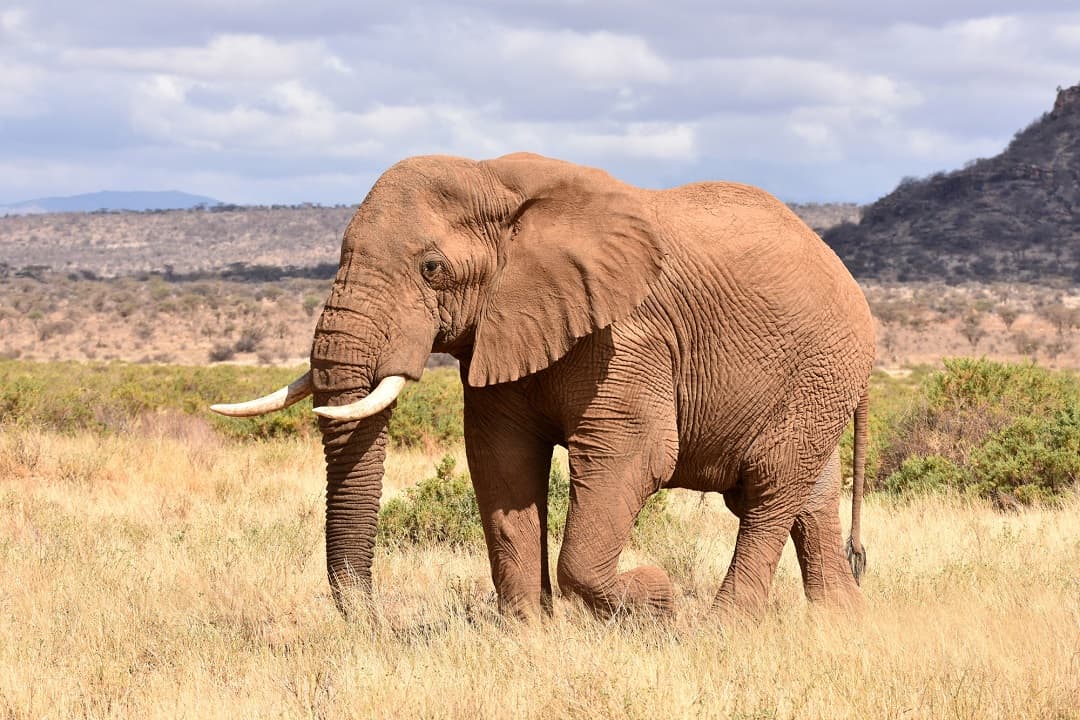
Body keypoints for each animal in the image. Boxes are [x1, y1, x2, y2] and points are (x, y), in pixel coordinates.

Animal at [208, 153, 868, 626]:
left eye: (431, 269)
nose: (371, 619)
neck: (494, 180)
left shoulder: (628, 337)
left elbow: (633, 458)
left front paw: (657, 600)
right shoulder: (499, 331)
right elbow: (502, 463)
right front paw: (528, 632)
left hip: (820, 371)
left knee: (769, 491)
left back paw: (723, 627)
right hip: (820, 383)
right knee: (807, 496)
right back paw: (839, 620)